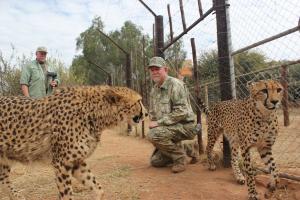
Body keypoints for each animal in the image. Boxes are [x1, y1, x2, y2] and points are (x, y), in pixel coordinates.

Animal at [0, 86, 148, 200]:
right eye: (139, 101)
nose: (146, 113)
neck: (95, 113)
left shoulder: (76, 161)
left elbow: (97, 186)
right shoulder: (61, 163)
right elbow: (67, 195)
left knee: (3, 181)